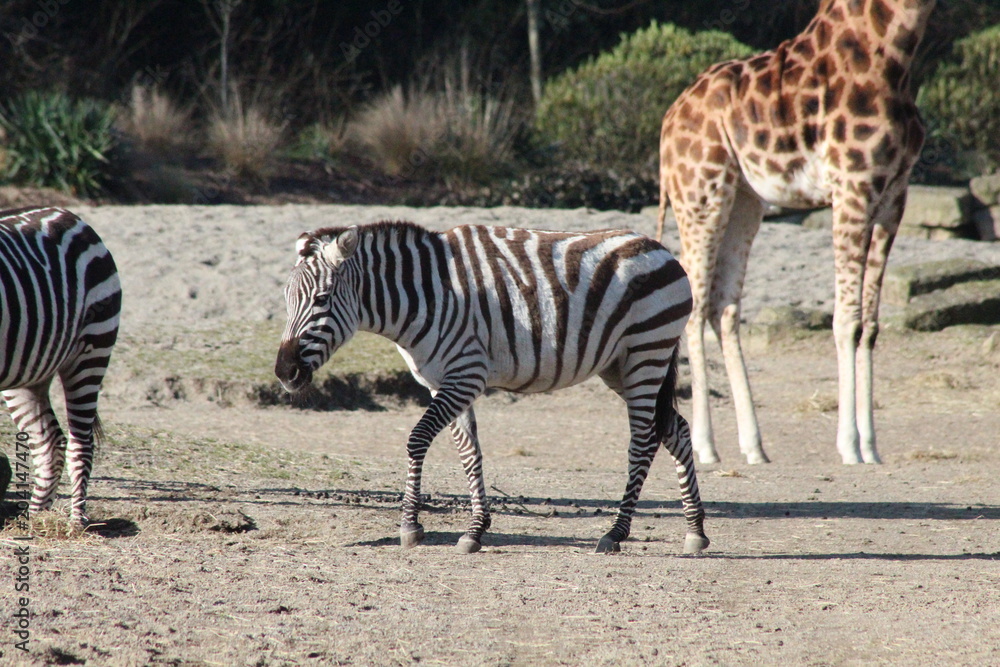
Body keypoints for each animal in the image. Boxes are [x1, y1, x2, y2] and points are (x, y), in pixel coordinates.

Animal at [1, 207, 121, 527]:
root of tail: (66, 214)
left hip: (91, 351)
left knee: (82, 443)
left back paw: (75, 521)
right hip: (28, 372)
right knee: (50, 443)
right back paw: (33, 520)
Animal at [275, 220, 708, 555]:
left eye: (322, 298)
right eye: (286, 299)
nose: (284, 372)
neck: (428, 297)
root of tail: (662, 249)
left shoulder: (467, 375)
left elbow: (417, 439)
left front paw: (410, 526)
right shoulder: (443, 382)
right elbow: (469, 454)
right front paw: (475, 530)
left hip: (646, 353)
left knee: (643, 440)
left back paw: (616, 533)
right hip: (622, 365)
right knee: (675, 429)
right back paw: (696, 531)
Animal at [656, 0, 936, 465]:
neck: (893, 55)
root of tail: (668, 120)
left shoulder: (895, 196)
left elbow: (871, 325)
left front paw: (872, 447)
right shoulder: (853, 188)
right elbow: (847, 321)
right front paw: (849, 445)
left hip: (745, 201)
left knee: (723, 306)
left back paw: (754, 446)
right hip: (701, 195)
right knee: (694, 305)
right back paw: (706, 447)